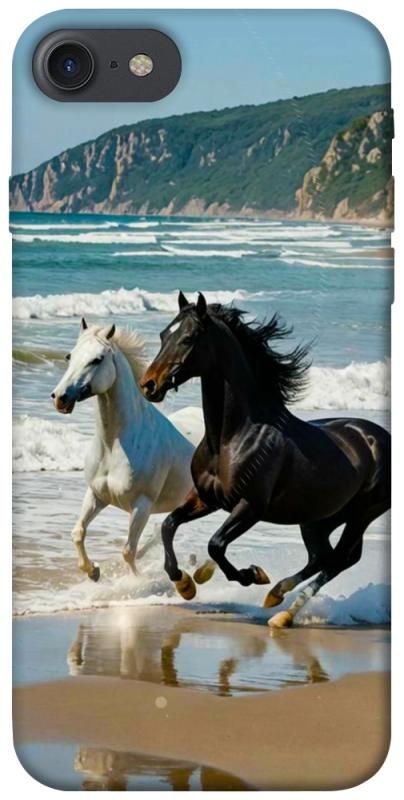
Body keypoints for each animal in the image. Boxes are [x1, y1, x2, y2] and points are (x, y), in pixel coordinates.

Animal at [51, 317, 198, 581]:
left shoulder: (141, 506)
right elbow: (78, 532)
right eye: (70, 356)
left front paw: (135, 583)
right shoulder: (96, 495)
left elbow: (128, 551)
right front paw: (93, 571)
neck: (114, 446)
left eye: (97, 359)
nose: (60, 397)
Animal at [139, 291, 391, 627]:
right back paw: (276, 597)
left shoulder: (251, 507)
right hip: (319, 518)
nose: (149, 384)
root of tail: (381, 438)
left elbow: (216, 544)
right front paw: (186, 584)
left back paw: (281, 611)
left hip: (362, 514)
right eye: (164, 334)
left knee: (339, 559)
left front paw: (251, 575)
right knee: (322, 556)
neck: (232, 438)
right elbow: (168, 525)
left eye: (189, 338)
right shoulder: (207, 498)